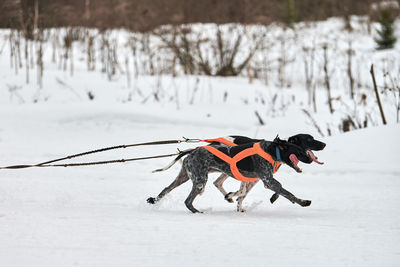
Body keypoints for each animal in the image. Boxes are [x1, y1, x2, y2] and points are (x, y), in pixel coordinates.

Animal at [147, 136, 322, 214]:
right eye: (299, 151)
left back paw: (154, 201)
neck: (272, 150)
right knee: (187, 200)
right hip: (200, 180)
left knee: (165, 189)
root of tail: (192, 151)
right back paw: (197, 211)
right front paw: (303, 202)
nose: (311, 159)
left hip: (184, 177)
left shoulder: (258, 180)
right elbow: (288, 193)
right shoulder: (268, 180)